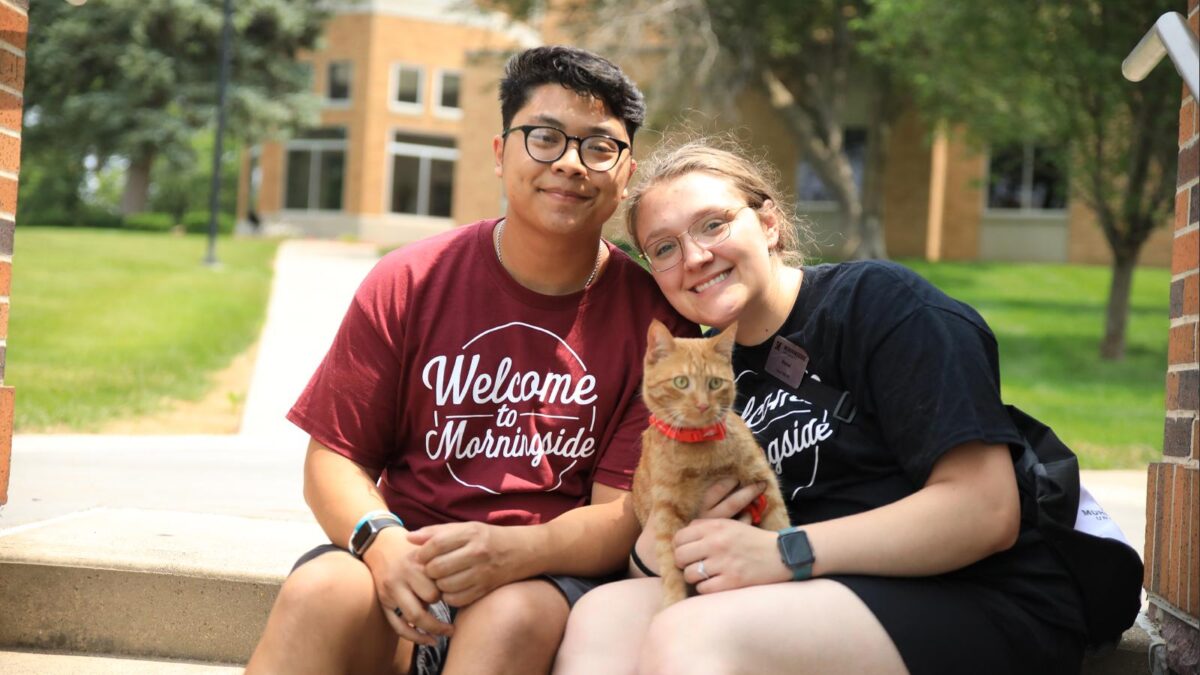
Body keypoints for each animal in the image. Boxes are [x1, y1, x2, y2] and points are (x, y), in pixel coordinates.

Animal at [633, 317, 792, 607]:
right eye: (681, 382)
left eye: (715, 384)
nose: (703, 405)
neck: (702, 453)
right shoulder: (666, 514)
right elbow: (670, 569)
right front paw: (673, 604)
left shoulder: (765, 484)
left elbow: (779, 526)